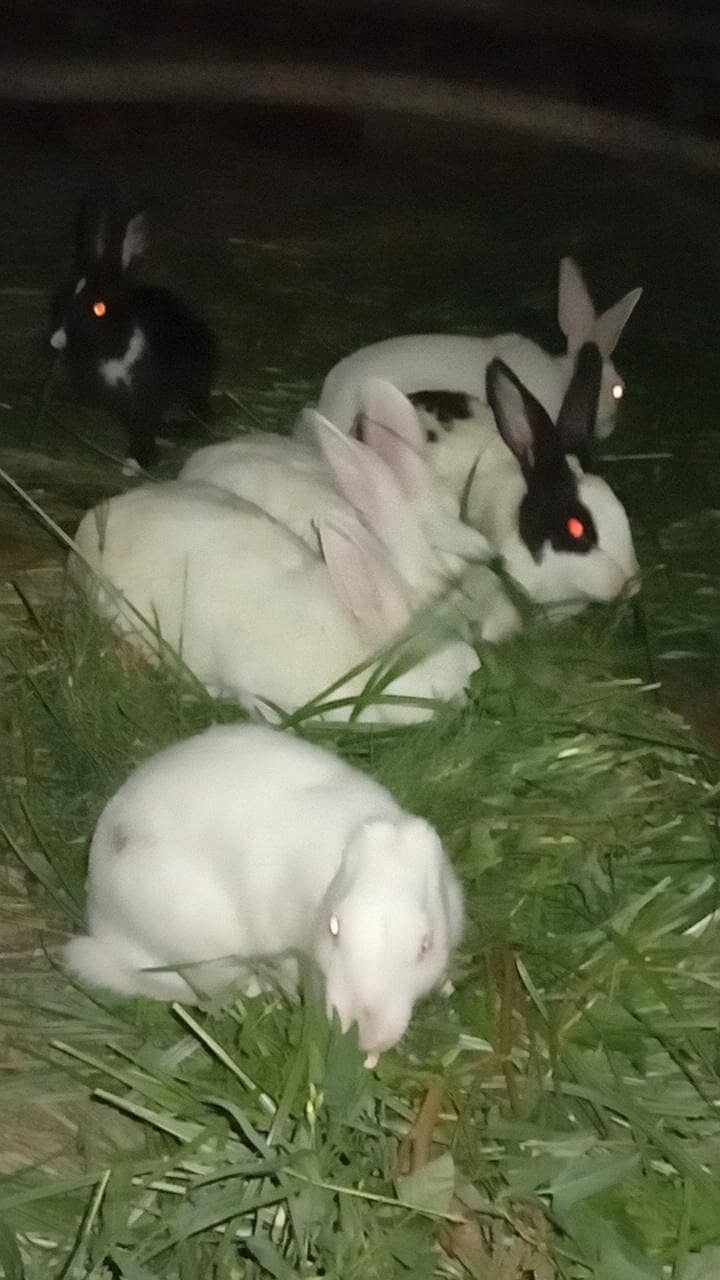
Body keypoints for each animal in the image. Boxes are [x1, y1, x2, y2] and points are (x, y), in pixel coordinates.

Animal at [49, 192, 218, 469]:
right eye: (63, 297)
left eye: (99, 309)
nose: (57, 340)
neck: (115, 351)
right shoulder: (123, 402)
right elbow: (136, 424)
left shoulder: (147, 395)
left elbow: (144, 425)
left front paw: (141, 459)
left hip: (194, 379)